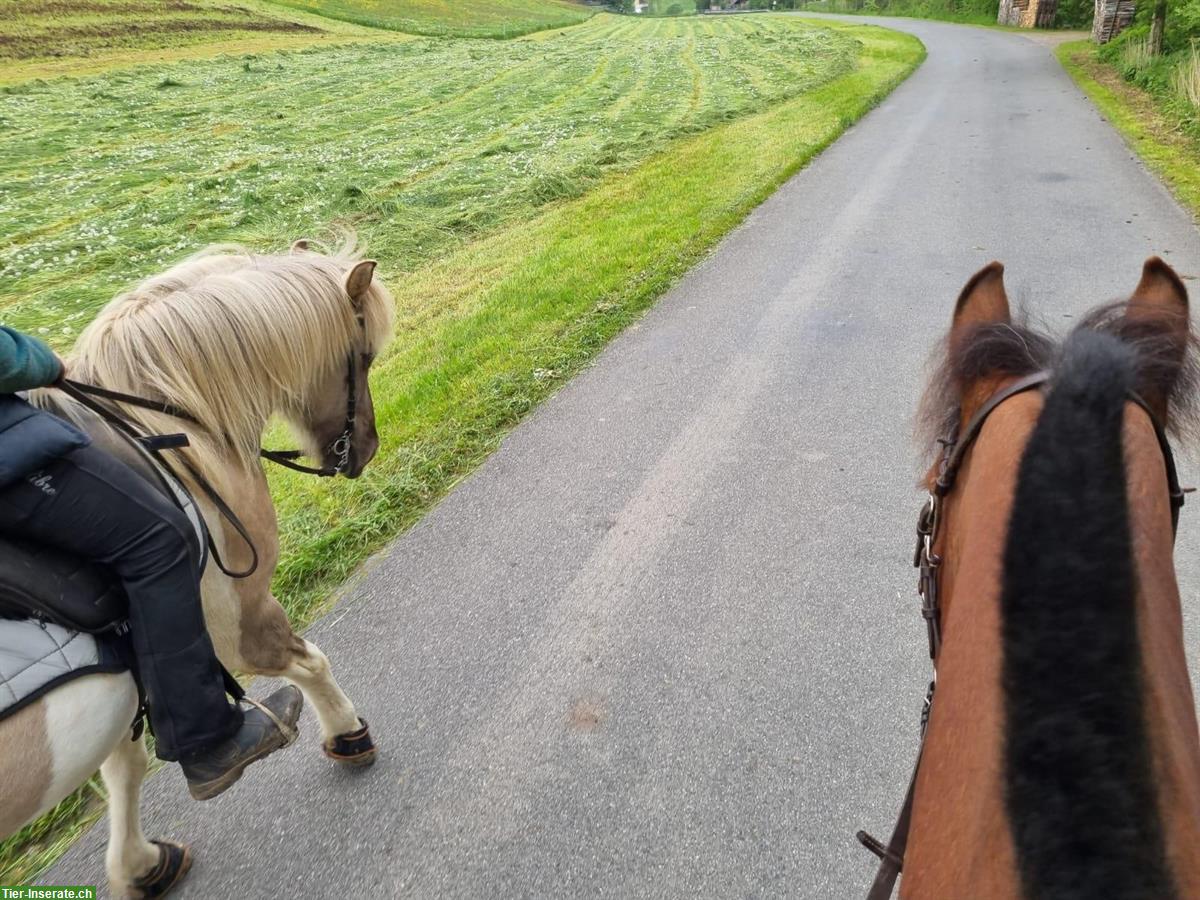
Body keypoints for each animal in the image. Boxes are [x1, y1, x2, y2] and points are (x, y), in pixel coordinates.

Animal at [0, 237, 396, 897]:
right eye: (362, 358)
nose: (364, 451)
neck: (176, 430)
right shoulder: (234, 621)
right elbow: (309, 663)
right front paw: (347, 734)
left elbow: (126, 767)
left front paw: (137, 865)